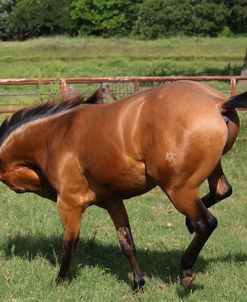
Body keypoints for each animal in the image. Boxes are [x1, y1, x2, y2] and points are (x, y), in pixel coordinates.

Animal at [0, 81, 247, 290]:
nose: (18, 189)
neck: (57, 133)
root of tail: (216, 103)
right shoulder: (113, 202)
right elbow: (127, 242)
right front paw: (138, 283)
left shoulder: (70, 205)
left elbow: (69, 246)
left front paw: (59, 281)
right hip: (204, 176)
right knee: (222, 191)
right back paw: (188, 225)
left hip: (178, 189)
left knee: (206, 223)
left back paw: (186, 268)